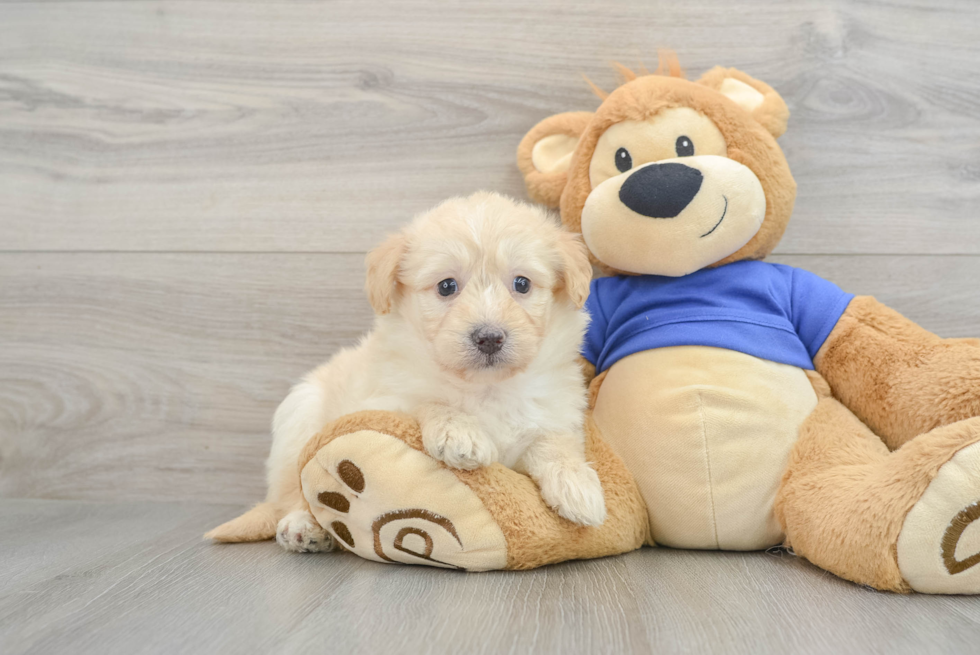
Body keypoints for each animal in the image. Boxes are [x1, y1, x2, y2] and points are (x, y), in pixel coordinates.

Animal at [264, 191, 600, 552]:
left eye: (522, 283)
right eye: (446, 286)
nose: (490, 337)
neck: (486, 387)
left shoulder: (553, 413)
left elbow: (554, 442)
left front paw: (577, 484)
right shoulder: (383, 401)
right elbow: (427, 402)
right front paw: (459, 433)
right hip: (299, 418)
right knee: (293, 487)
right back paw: (303, 526)